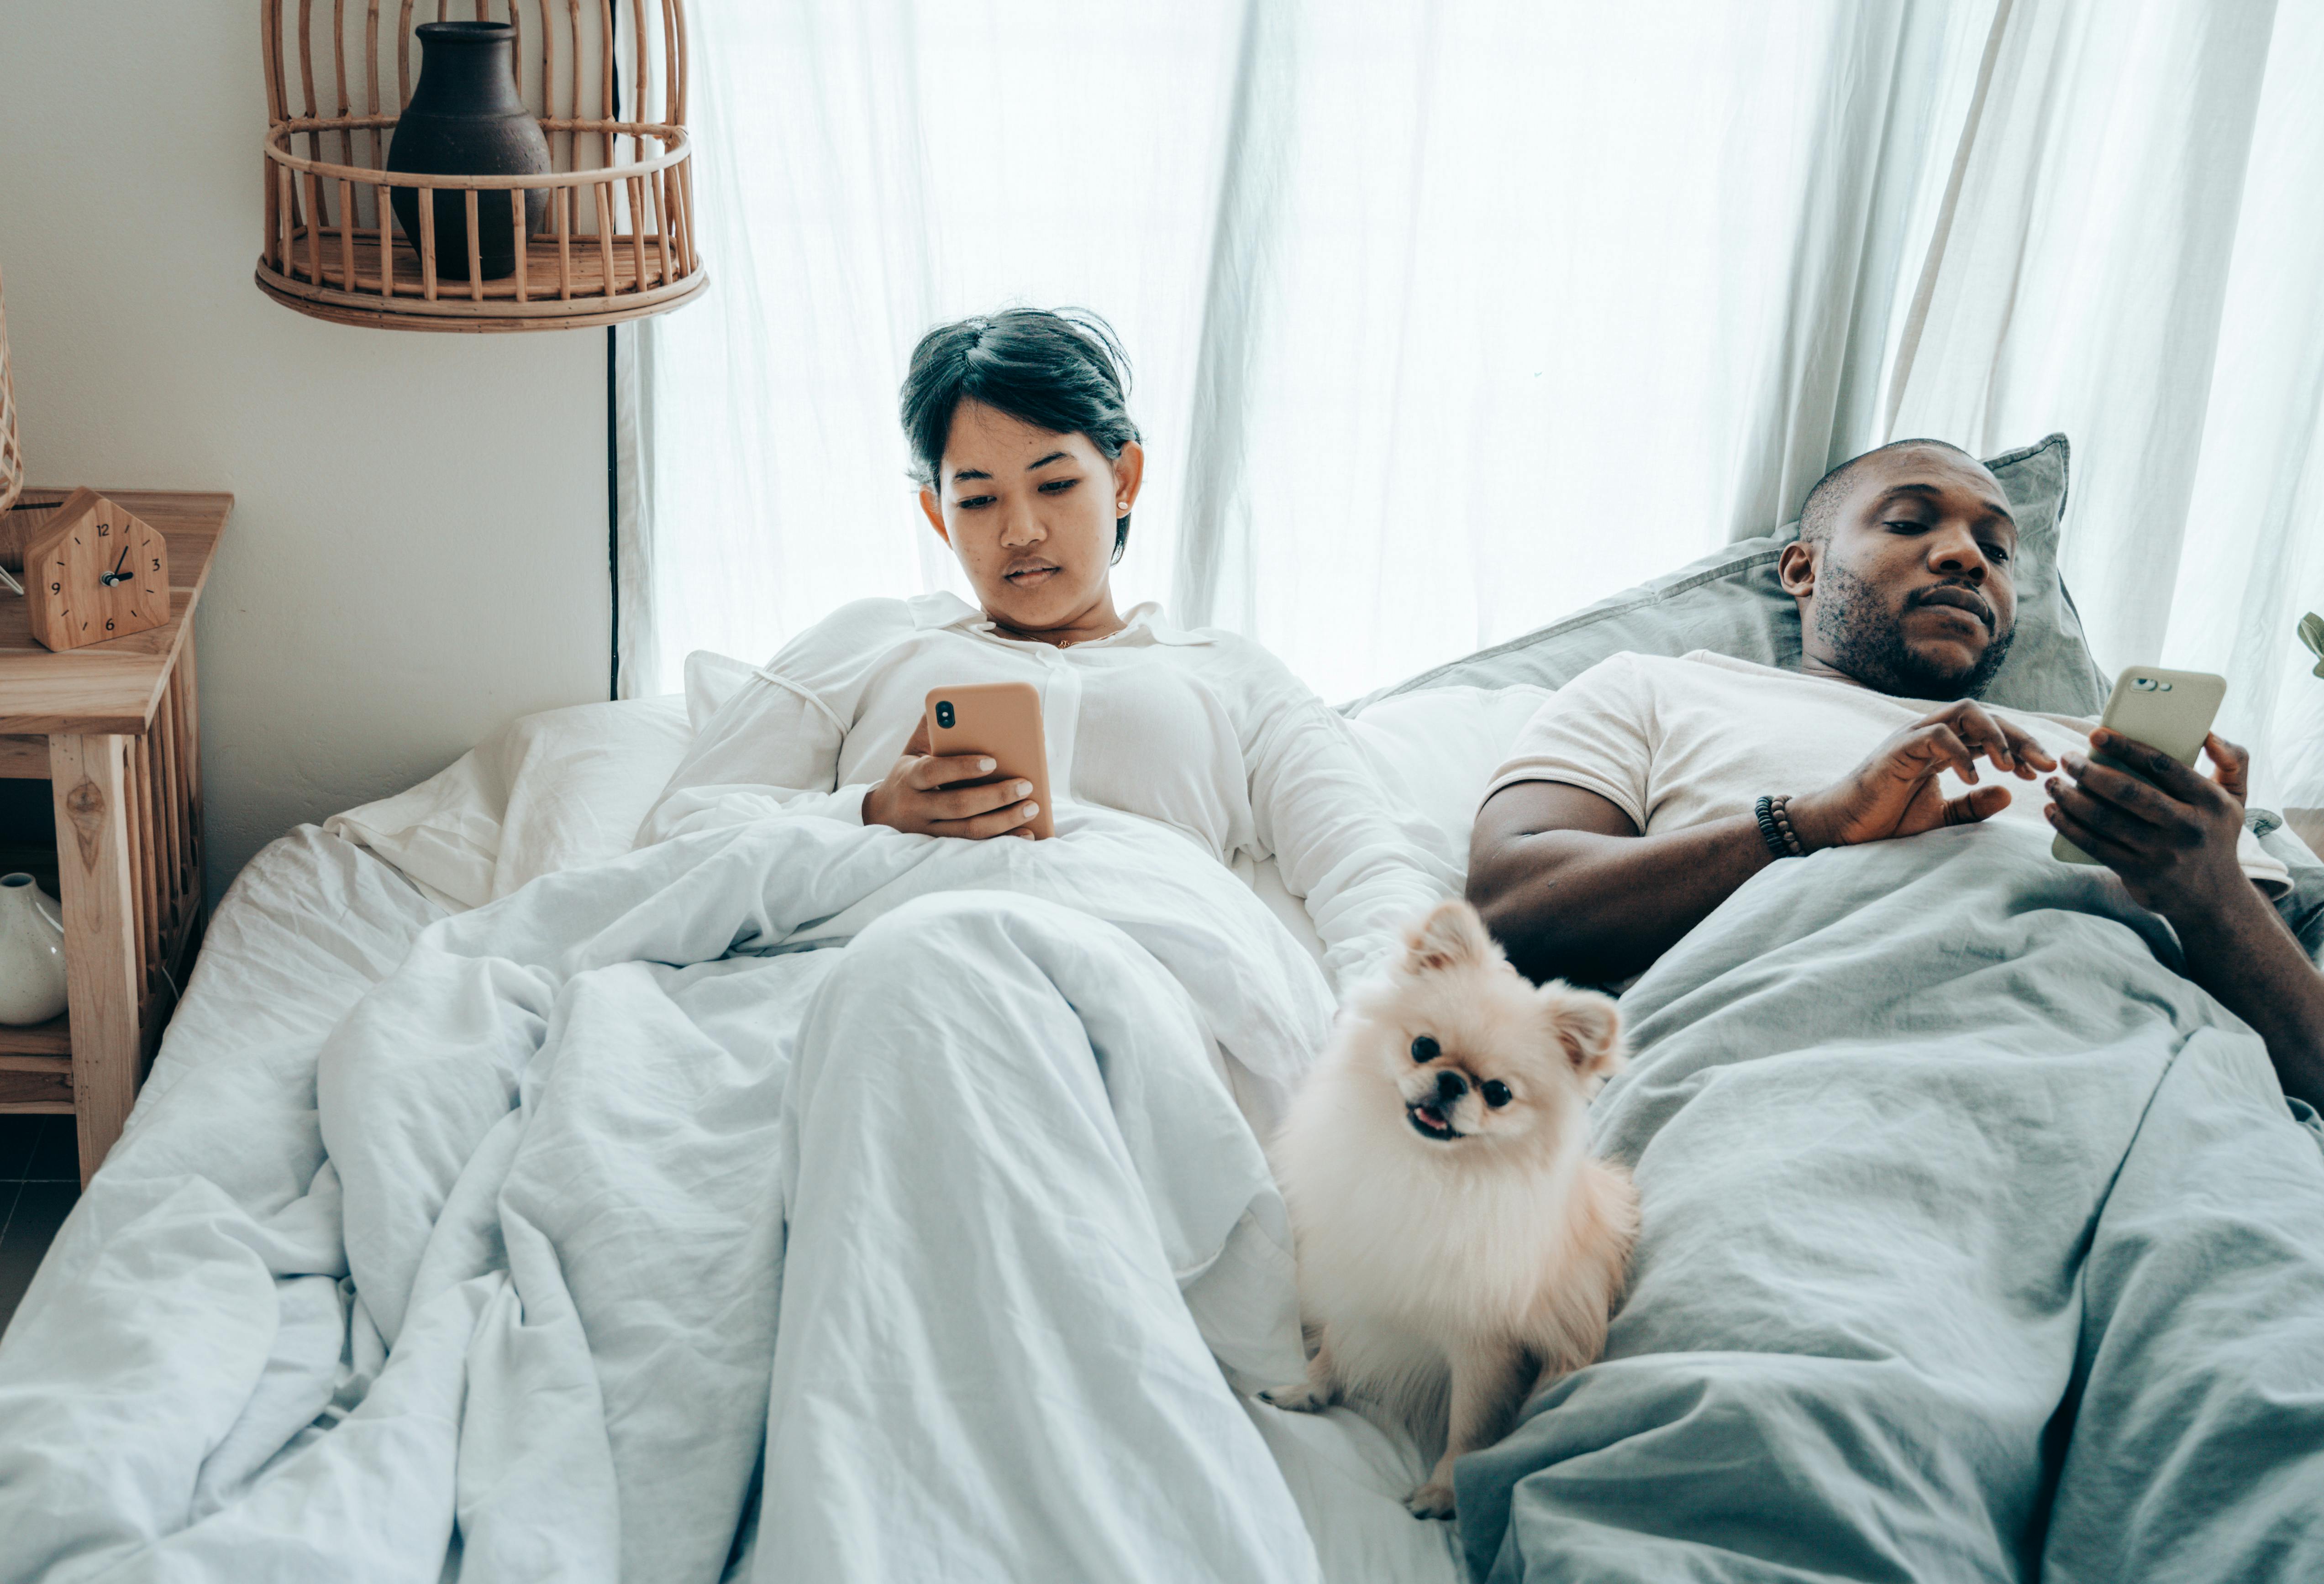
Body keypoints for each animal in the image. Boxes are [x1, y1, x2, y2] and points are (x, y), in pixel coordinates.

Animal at [1273, 896, 1636, 1514]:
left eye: (1498, 1093)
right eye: (1423, 1046)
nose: (1449, 1081)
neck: (1425, 1170)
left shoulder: (1483, 1347)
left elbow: (1468, 1425)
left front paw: (1443, 1492)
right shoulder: (1358, 1277)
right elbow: (1337, 1346)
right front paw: (1309, 1386)